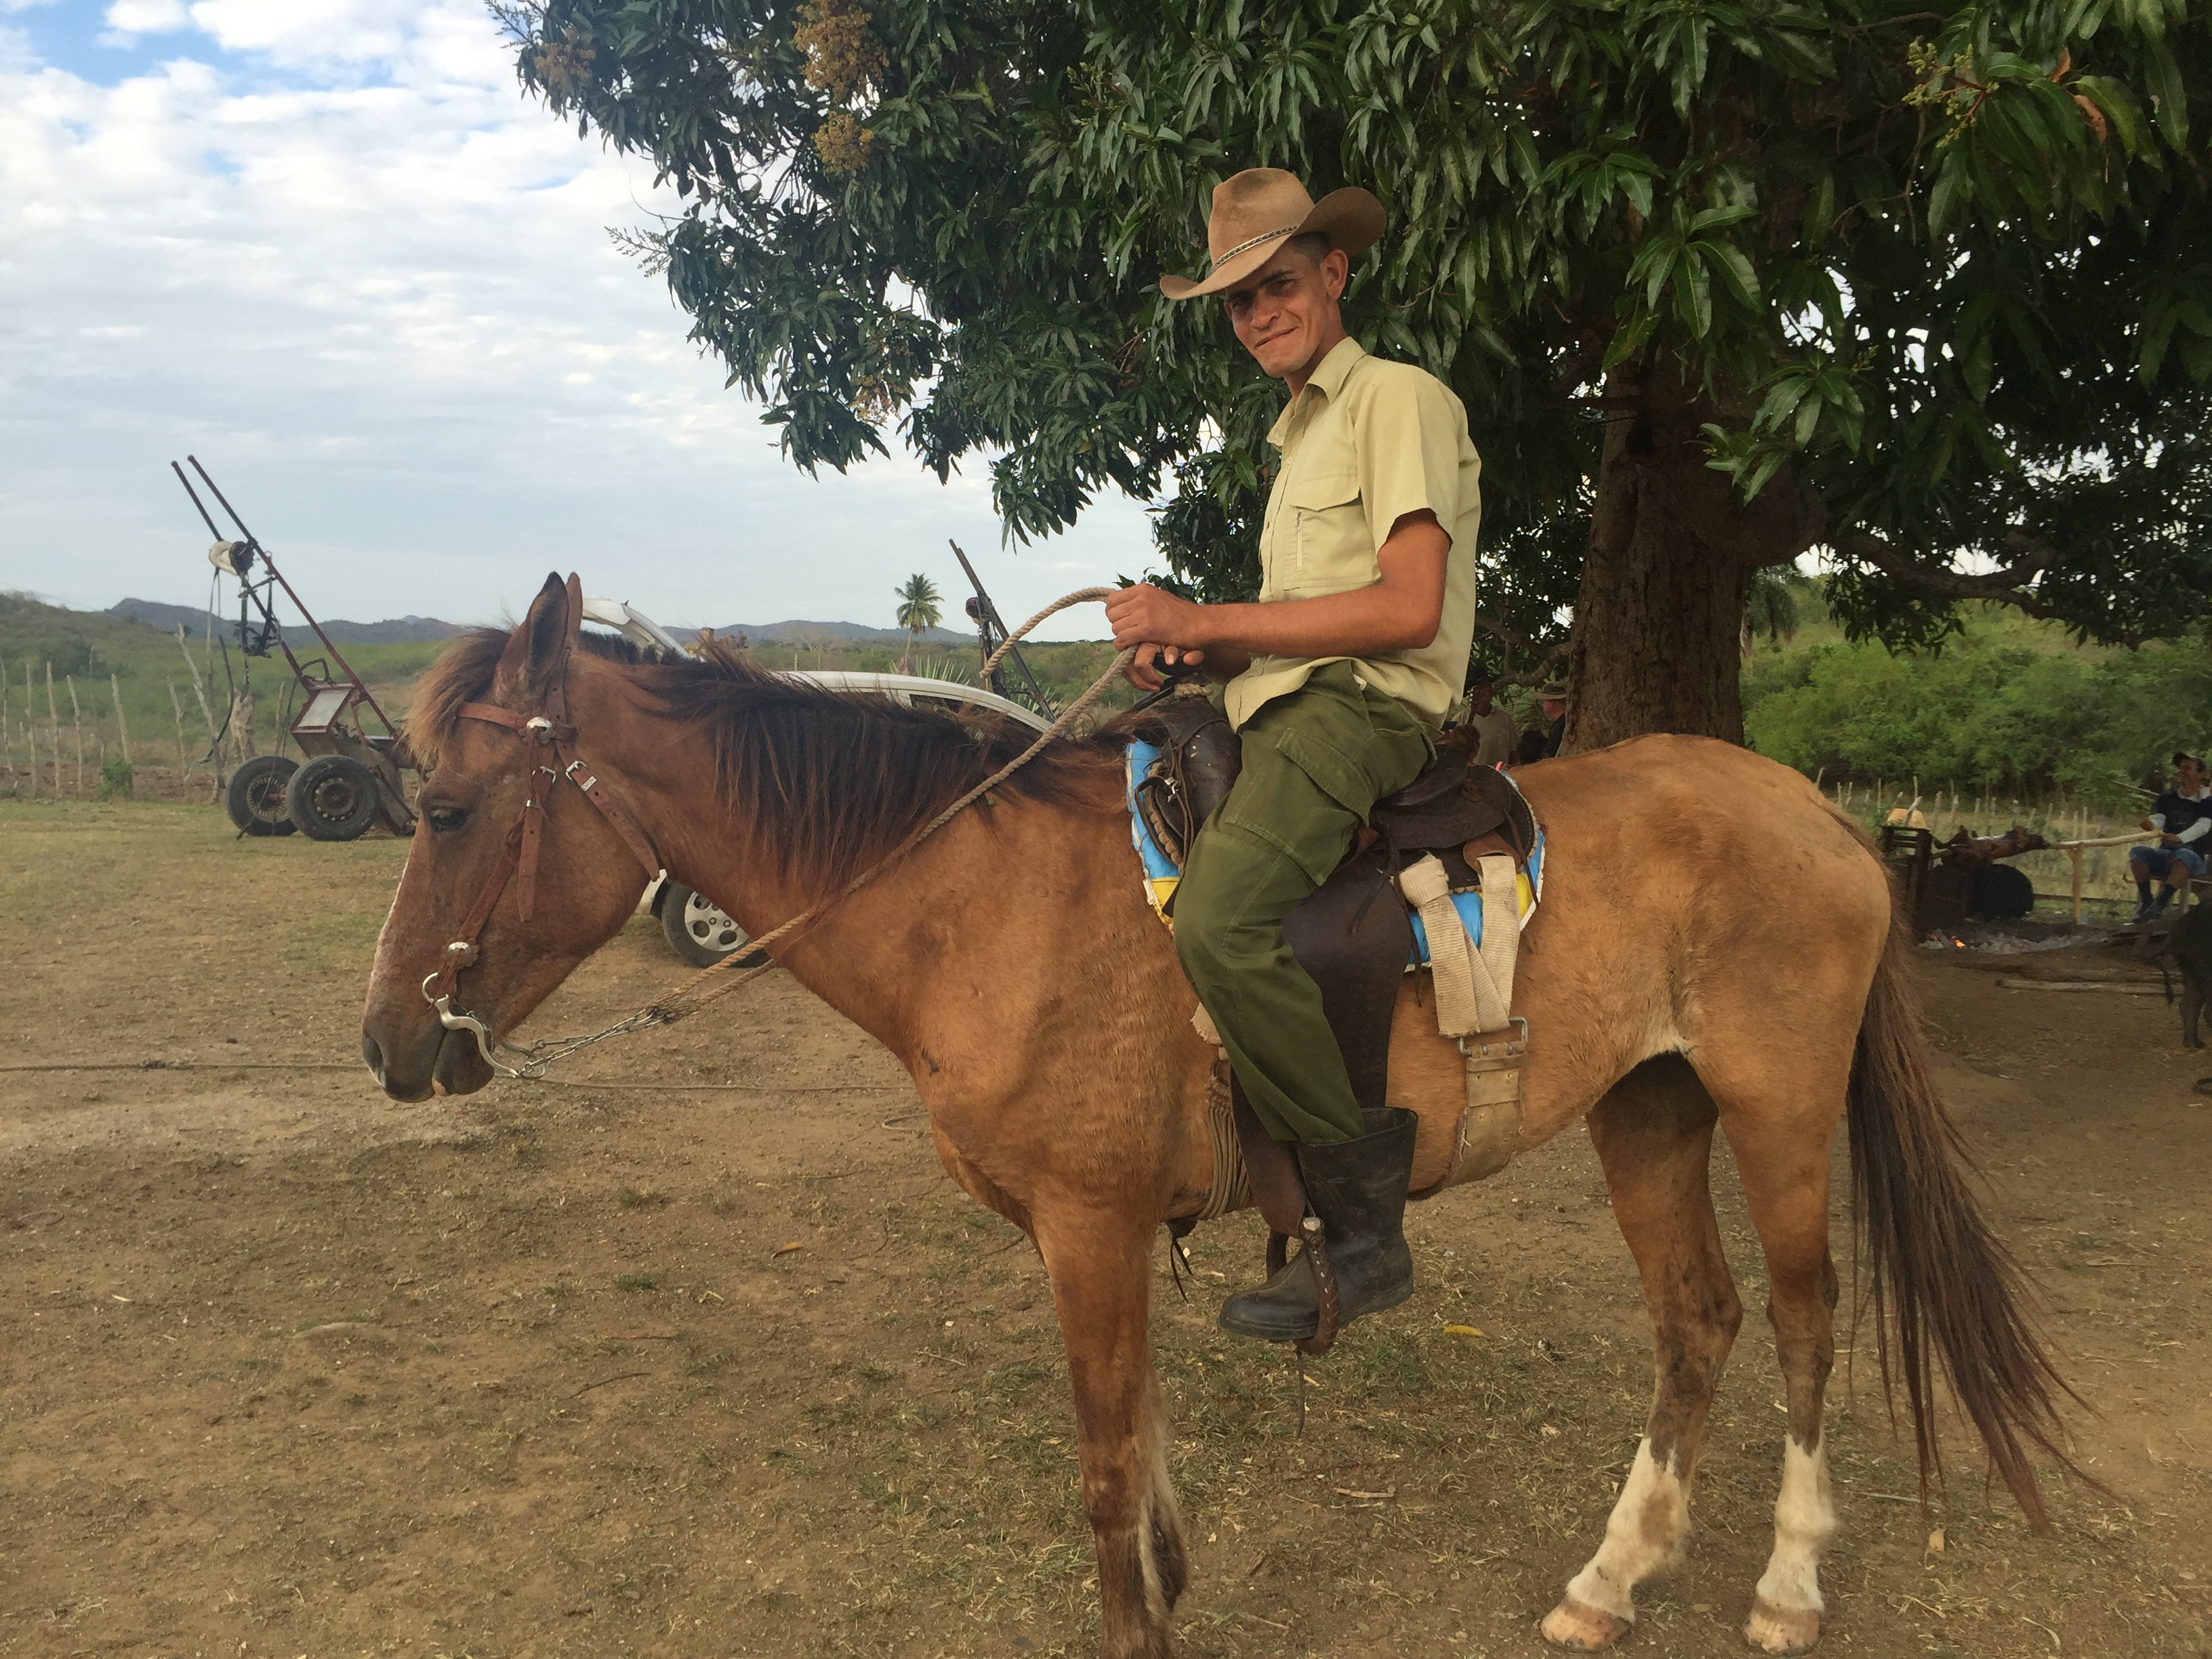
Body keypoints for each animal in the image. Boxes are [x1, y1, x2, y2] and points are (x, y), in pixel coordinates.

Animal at [361, 575, 2078, 1658]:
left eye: (445, 807)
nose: (389, 1043)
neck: (974, 900)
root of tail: (1818, 813)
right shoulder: (1100, 1232)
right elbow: (1140, 1442)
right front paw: (1172, 1581)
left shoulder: (1086, 1224)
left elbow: (1105, 1465)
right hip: (1646, 1110)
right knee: (1697, 1322)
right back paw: (1612, 1574)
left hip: (1774, 1106)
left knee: (1803, 1320)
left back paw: (1785, 1583)